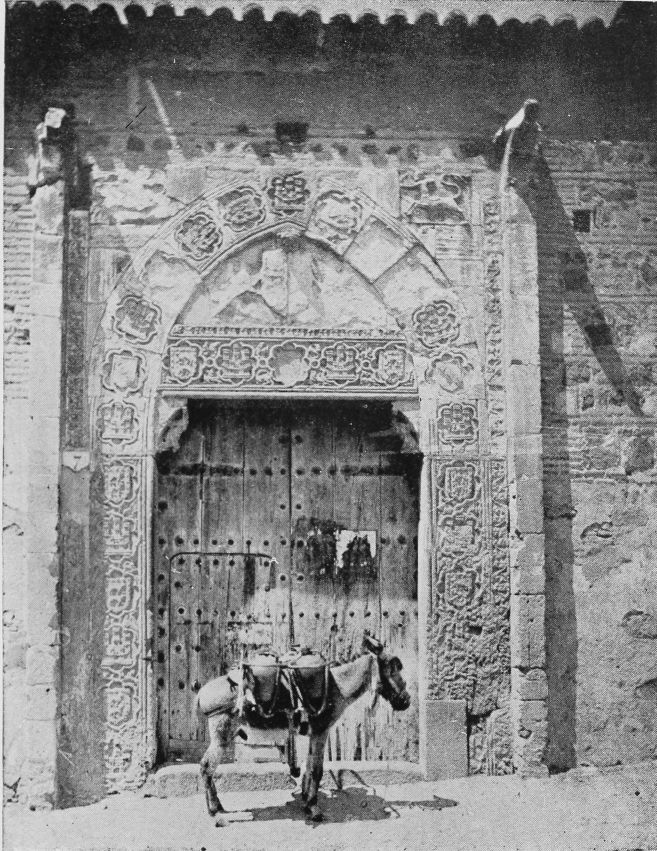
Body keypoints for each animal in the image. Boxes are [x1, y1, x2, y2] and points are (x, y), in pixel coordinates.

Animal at [197, 634, 411, 821]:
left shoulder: (311, 734)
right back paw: (214, 811)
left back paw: (217, 807)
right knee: (206, 767)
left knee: (207, 767)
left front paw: (306, 801)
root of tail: (201, 693)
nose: (406, 701)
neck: (336, 686)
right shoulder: (321, 731)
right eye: (393, 669)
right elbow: (317, 769)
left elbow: (308, 767)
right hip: (222, 734)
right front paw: (314, 808)